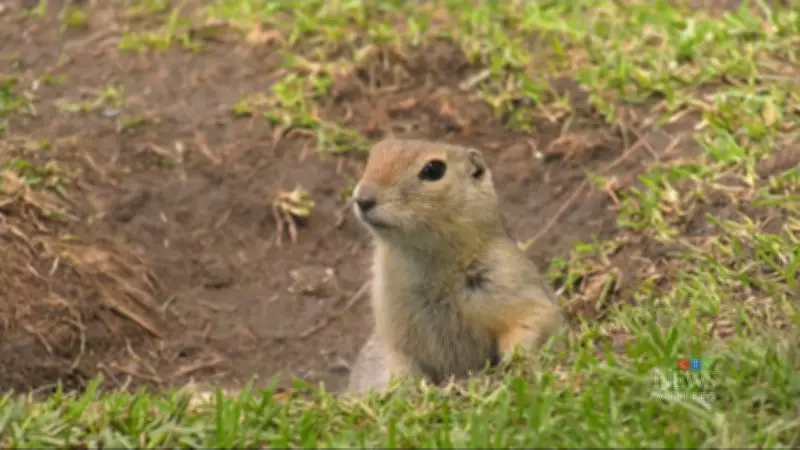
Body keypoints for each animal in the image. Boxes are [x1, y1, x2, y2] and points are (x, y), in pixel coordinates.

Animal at [346, 139, 564, 393]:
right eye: (373, 156)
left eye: (433, 169)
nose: (362, 199)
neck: (429, 261)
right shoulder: (390, 324)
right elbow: (397, 359)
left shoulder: (509, 278)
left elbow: (534, 318)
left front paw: (512, 361)